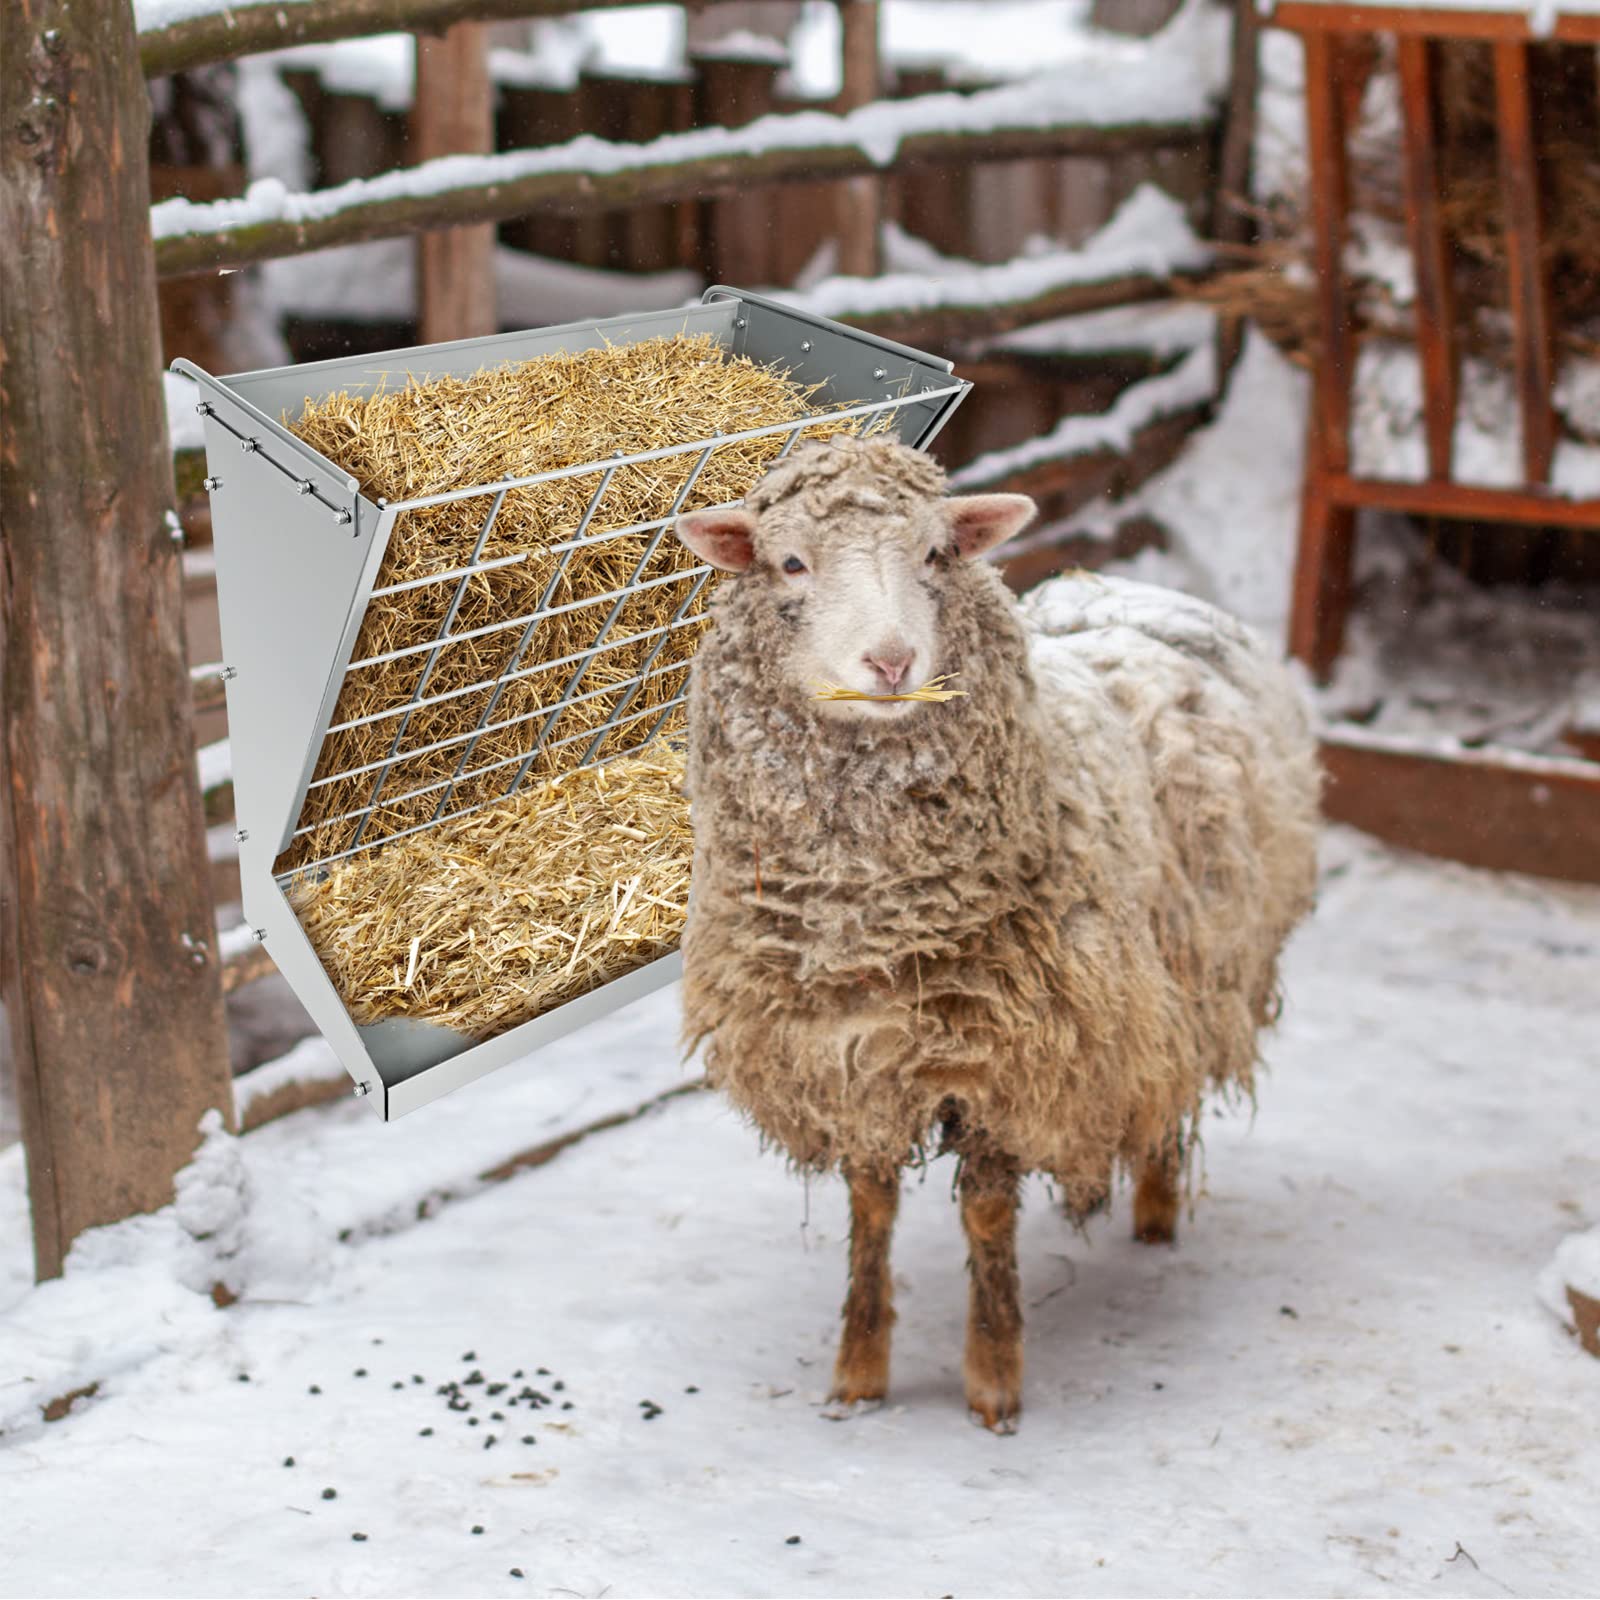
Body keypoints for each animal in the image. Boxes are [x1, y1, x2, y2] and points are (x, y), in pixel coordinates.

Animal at [672, 434, 1320, 1431]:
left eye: (939, 553)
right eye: (789, 562)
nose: (891, 661)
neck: (875, 919)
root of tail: (1139, 585)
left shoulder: (1008, 1054)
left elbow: (984, 1213)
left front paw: (993, 1377)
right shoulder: (855, 1057)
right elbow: (871, 1208)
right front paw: (859, 1370)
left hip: (1186, 965)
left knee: (1170, 1086)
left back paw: (1157, 1216)